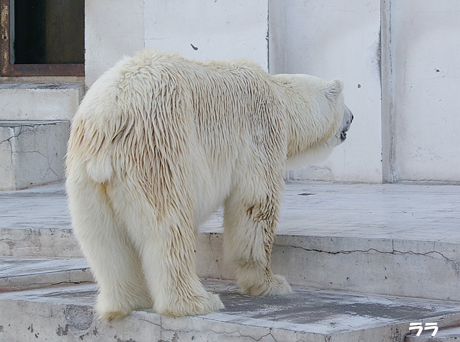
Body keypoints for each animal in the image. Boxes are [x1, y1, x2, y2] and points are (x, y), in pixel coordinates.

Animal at [65, 49, 352, 320]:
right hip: (159, 150)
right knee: (169, 227)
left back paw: (126, 301)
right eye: (344, 103)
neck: (278, 95)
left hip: (86, 180)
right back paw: (196, 301)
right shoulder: (261, 131)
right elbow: (255, 205)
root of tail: (107, 120)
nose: (352, 117)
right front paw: (272, 283)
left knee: (104, 242)